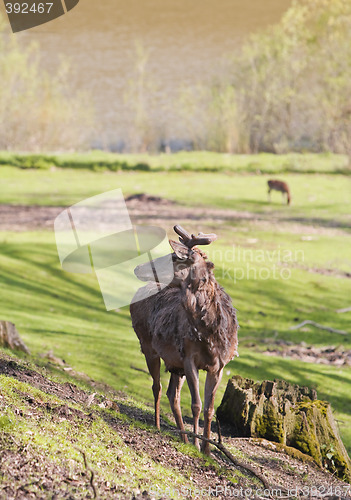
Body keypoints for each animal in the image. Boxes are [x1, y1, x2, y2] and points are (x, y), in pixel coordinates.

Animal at [131, 225, 241, 456]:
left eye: (173, 257)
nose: (137, 268)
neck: (209, 335)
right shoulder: (189, 357)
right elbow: (196, 404)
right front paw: (198, 444)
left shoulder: (219, 365)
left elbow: (209, 407)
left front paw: (207, 449)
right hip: (147, 346)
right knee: (157, 387)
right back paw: (158, 425)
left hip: (175, 364)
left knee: (172, 394)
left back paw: (182, 436)